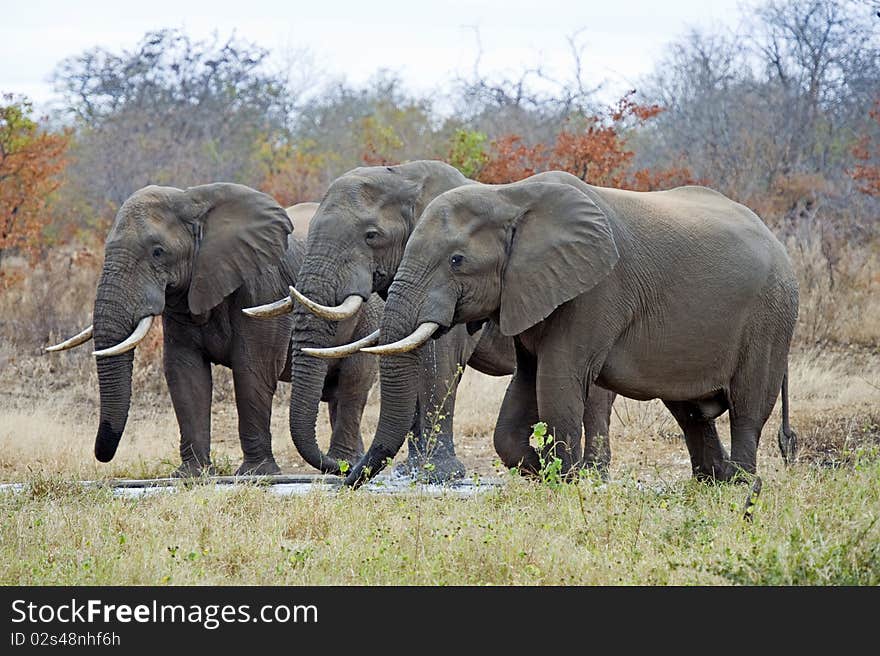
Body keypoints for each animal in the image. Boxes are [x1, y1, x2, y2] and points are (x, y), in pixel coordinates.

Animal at [46, 184, 378, 476]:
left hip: (370, 313)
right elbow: (184, 372)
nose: (102, 454)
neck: (193, 201)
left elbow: (252, 370)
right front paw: (190, 474)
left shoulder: (261, 285)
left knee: (353, 381)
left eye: (158, 252)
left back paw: (343, 463)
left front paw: (255, 474)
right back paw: (350, 463)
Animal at [244, 159, 620, 476]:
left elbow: (439, 359)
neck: (406, 177)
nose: (342, 469)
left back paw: (593, 472)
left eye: (371, 236)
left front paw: (439, 474)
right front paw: (412, 472)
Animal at [342, 172, 796, 490]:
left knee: (747, 408)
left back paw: (741, 485)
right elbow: (522, 393)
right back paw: (714, 482)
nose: (343, 482)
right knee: (689, 412)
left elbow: (557, 383)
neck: (511, 196)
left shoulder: (595, 292)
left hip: (771, 317)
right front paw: (543, 468)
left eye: (457, 260)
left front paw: (565, 478)